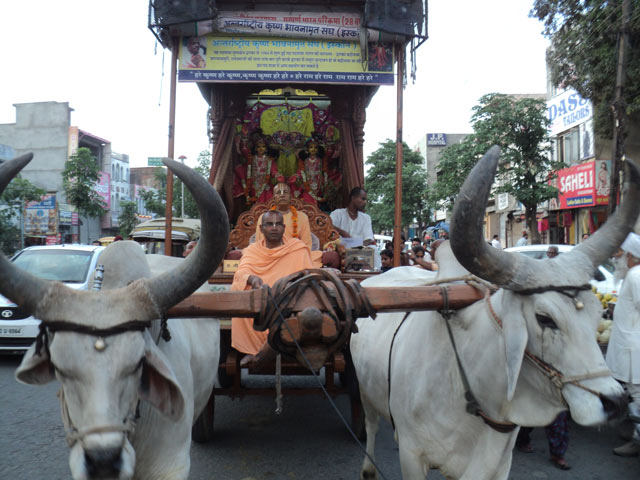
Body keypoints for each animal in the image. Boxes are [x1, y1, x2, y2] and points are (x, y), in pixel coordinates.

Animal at [352, 147, 636, 480]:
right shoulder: (412, 457)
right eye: (545, 319)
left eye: (596, 314)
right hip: (365, 391)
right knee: (371, 426)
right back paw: (368, 467)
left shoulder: (498, 461)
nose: (615, 401)